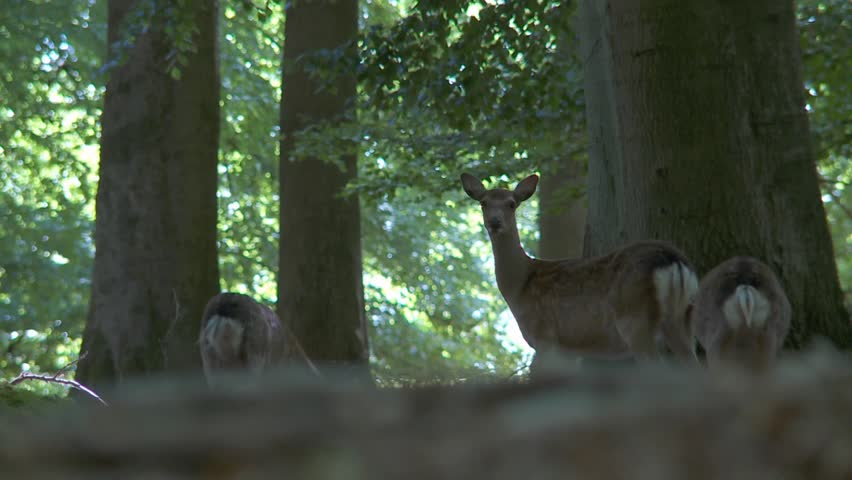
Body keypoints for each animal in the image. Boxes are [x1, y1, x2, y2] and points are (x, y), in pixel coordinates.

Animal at [461, 173, 699, 369]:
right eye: (483, 203)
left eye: (511, 204)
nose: (495, 222)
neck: (520, 285)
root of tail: (672, 258)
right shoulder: (569, 347)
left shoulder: (545, 337)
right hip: (683, 318)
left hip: (636, 318)